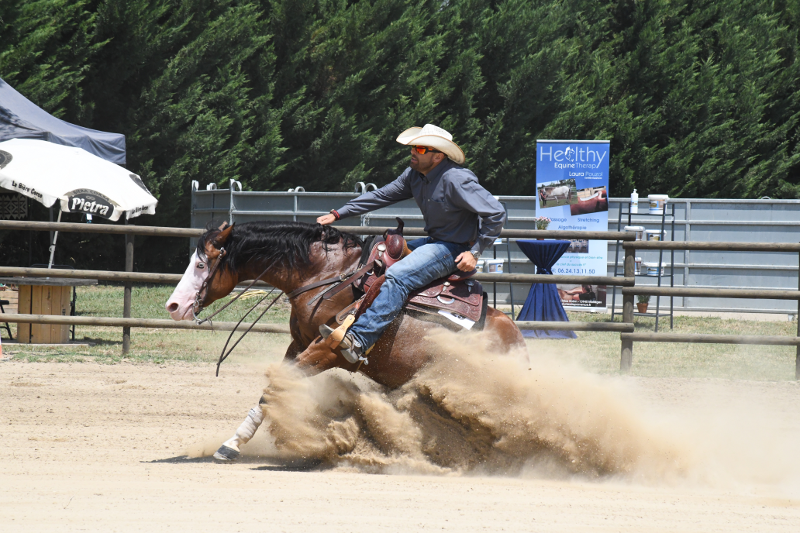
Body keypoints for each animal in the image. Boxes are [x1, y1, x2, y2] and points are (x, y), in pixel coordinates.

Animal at [166, 218, 528, 460]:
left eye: (201, 265)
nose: (174, 306)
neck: (328, 277)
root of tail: (518, 344)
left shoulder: (329, 352)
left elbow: (275, 390)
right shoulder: (299, 344)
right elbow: (269, 394)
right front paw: (233, 443)